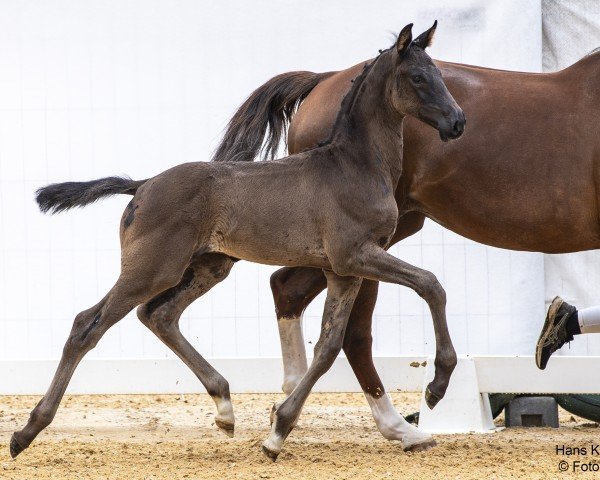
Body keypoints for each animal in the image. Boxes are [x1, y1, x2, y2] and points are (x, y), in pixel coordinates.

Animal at [12, 22, 464, 462]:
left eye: (441, 75)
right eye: (418, 77)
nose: (457, 122)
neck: (354, 166)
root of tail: (142, 185)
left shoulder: (342, 271)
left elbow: (328, 347)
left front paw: (278, 432)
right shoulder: (357, 255)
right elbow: (431, 284)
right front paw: (437, 386)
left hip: (209, 266)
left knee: (159, 315)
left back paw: (225, 409)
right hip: (151, 269)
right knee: (87, 325)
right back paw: (25, 433)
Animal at [212, 49, 600, 442]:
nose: (457, 123)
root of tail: (325, 79)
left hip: (352, 246)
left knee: (289, 288)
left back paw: (296, 399)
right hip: (359, 249)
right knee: (354, 335)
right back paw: (395, 422)